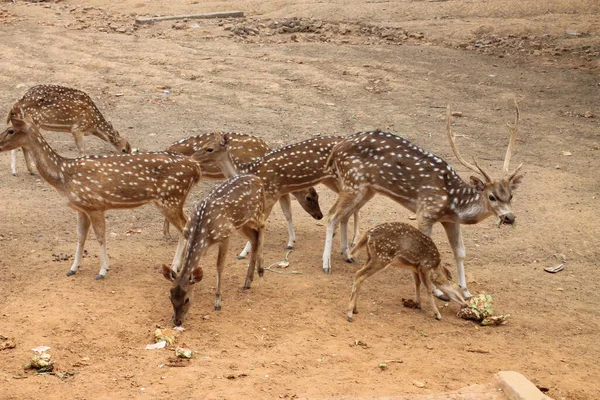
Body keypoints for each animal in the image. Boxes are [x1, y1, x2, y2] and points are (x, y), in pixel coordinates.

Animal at [0, 114, 202, 280]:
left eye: (11, 130)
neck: (63, 175)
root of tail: (196, 168)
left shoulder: (95, 205)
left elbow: (100, 236)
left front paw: (102, 271)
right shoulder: (81, 208)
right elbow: (80, 236)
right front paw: (72, 268)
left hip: (170, 198)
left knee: (185, 227)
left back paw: (178, 267)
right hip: (174, 199)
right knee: (187, 223)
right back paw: (181, 265)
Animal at [164, 132, 324, 250]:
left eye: (317, 196)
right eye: (309, 197)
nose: (319, 215)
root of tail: (168, 148)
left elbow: (287, 213)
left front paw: (290, 243)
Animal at [164, 174, 268, 324]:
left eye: (187, 299)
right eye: (170, 297)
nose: (177, 321)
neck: (202, 232)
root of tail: (258, 179)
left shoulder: (225, 235)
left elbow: (219, 266)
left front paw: (218, 302)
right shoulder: (187, 233)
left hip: (256, 212)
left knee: (263, 224)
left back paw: (261, 269)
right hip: (241, 223)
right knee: (254, 237)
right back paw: (248, 281)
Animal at [192, 133, 360, 260]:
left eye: (209, 149)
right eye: (203, 144)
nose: (193, 157)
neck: (249, 170)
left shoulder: (271, 193)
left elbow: (261, 221)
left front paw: (243, 253)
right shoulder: (279, 192)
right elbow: (287, 214)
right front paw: (291, 242)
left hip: (343, 178)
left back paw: (351, 242)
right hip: (333, 180)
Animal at [322, 104, 524, 298]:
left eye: (511, 196)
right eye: (492, 196)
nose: (510, 217)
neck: (453, 201)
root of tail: (336, 149)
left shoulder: (451, 221)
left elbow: (460, 252)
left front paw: (466, 292)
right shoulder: (425, 212)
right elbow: (428, 250)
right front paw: (438, 292)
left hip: (367, 190)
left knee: (344, 215)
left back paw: (347, 255)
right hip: (352, 182)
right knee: (331, 214)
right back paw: (326, 265)